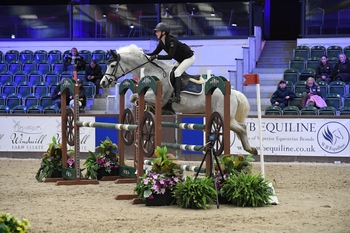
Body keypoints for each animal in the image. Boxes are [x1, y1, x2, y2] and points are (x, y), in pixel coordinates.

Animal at [101, 44, 258, 156]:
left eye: (112, 65)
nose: (103, 83)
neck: (154, 71)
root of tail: (235, 93)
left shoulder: (160, 98)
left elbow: (134, 96)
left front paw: (139, 106)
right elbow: (136, 97)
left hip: (224, 117)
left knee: (241, 129)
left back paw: (250, 150)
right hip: (227, 118)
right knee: (241, 128)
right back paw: (250, 149)